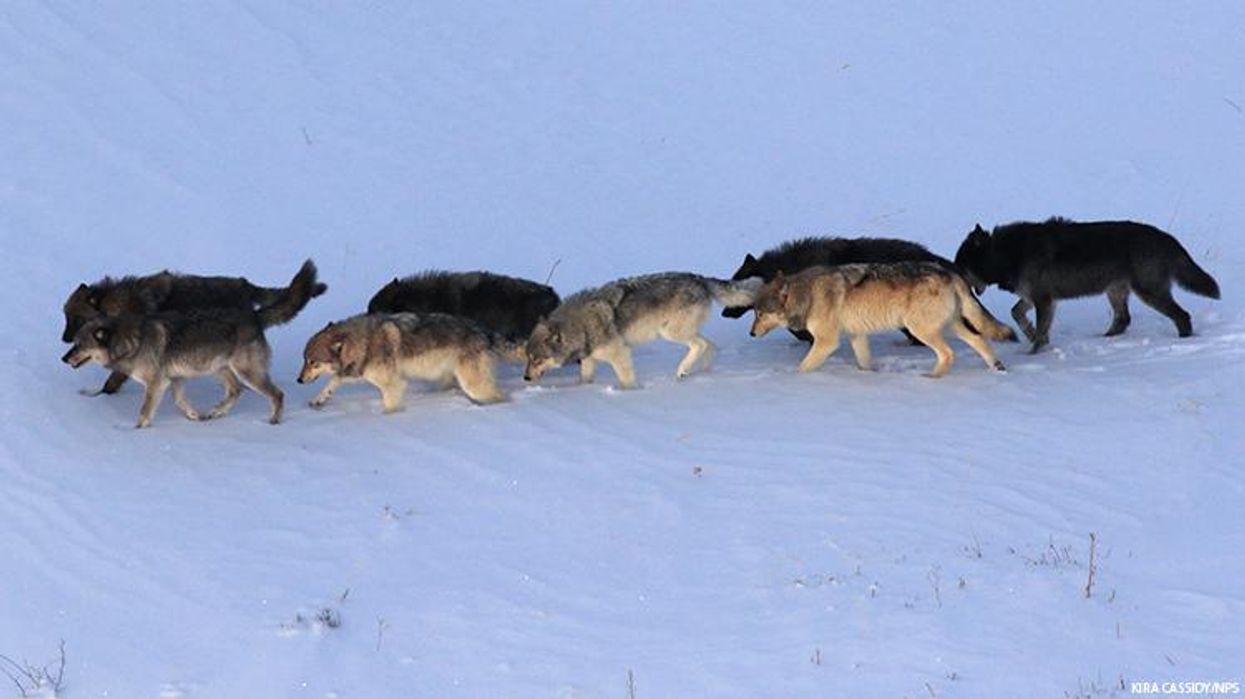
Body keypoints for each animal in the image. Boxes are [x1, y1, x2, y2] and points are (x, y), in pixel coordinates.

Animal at [60, 263, 324, 428]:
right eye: (66, 318)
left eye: (76, 320)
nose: (63, 349)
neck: (122, 307)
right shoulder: (173, 379)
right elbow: (180, 402)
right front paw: (194, 416)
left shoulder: (154, 380)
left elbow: (119, 391)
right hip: (219, 367)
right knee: (236, 389)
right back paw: (217, 412)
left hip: (241, 369)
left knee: (272, 393)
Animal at [297, 312, 511, 413]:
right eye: (305, 360)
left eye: (313, 362)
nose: (299, 380)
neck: (363, 341)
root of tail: (484, 331)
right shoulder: (357, 371)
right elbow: (334, 379)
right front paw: (319, 399)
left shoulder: (393, 384)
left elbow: (391, 407)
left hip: (473, 385)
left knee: (503, 397)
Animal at [523, 273, 762, 389]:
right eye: (528, 358)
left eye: (537, 360)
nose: (525, 378)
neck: (580, 326)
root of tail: (699, 279)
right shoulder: (590, 359)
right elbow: (584, 379)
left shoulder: (619, 354)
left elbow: (626, 379)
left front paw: (630, 393)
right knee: (710, 345)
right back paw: (701, 371)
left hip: (670, 333)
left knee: (701, 344)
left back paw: (682, 370)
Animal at [749, 263, 1008, 377]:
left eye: (760, 314)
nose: (751, 333)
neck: (808, 293)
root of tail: (951, 273)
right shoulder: (857, 336)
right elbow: (865, 364)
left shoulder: (826, 342)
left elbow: (803, 367)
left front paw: (793, 380)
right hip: (951, 327)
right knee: (980, 340)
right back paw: (997, 368)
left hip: (921, 329)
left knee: (948, 353)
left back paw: (930, 378)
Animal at [954, 218, 1221, 352]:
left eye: (960, 266)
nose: (953, 280)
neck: (1006, 254)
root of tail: (1168, 238)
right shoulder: (1036, 298)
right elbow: (1017, 313)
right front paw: (1030, 335)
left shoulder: (1043, 299)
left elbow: (1039, 330)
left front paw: (1035, 352)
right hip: (1115, 291)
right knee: (1123, 320)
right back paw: (1103, 340)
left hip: (1148, 293)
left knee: (1182, 315)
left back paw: (1183, 343)